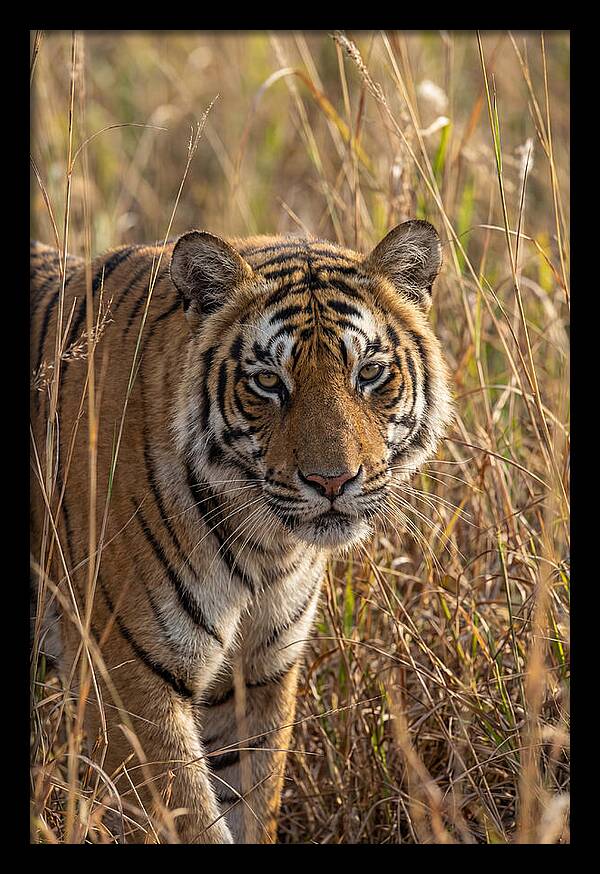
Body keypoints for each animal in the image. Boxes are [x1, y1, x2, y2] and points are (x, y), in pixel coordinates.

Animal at [30, 220, 453, 844]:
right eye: (268, 381)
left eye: (370, 373)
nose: (332, 480)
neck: (265, 549)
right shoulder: (127, 680)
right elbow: (190, 820)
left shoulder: (258, 674)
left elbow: (252, 801)